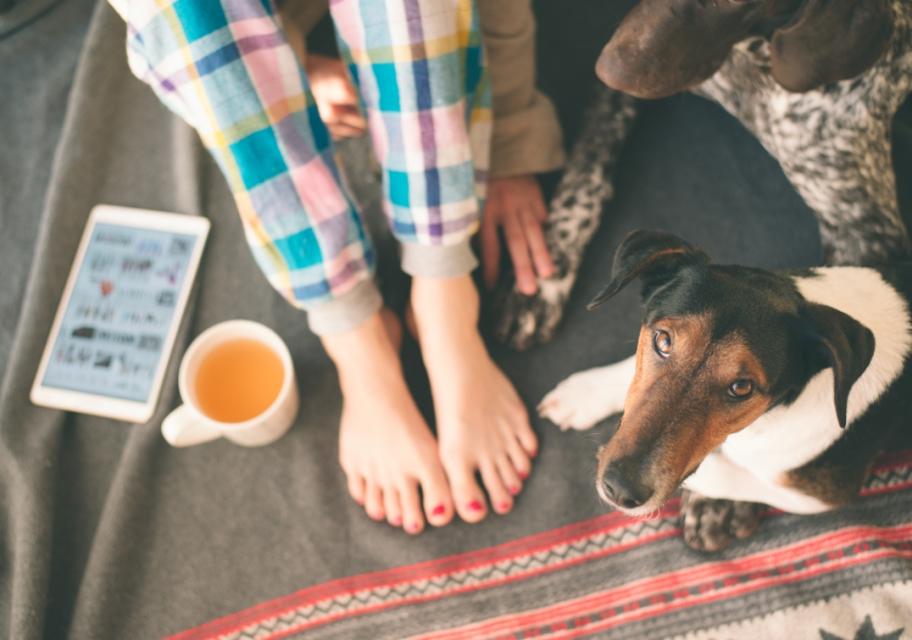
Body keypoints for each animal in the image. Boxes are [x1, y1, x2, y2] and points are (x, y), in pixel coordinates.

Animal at [536, 230, 908, 552]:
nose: (618, 489)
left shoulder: (817, 495)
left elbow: (724, 475)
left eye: (742, 387)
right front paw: (585, 394)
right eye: (663, 341)